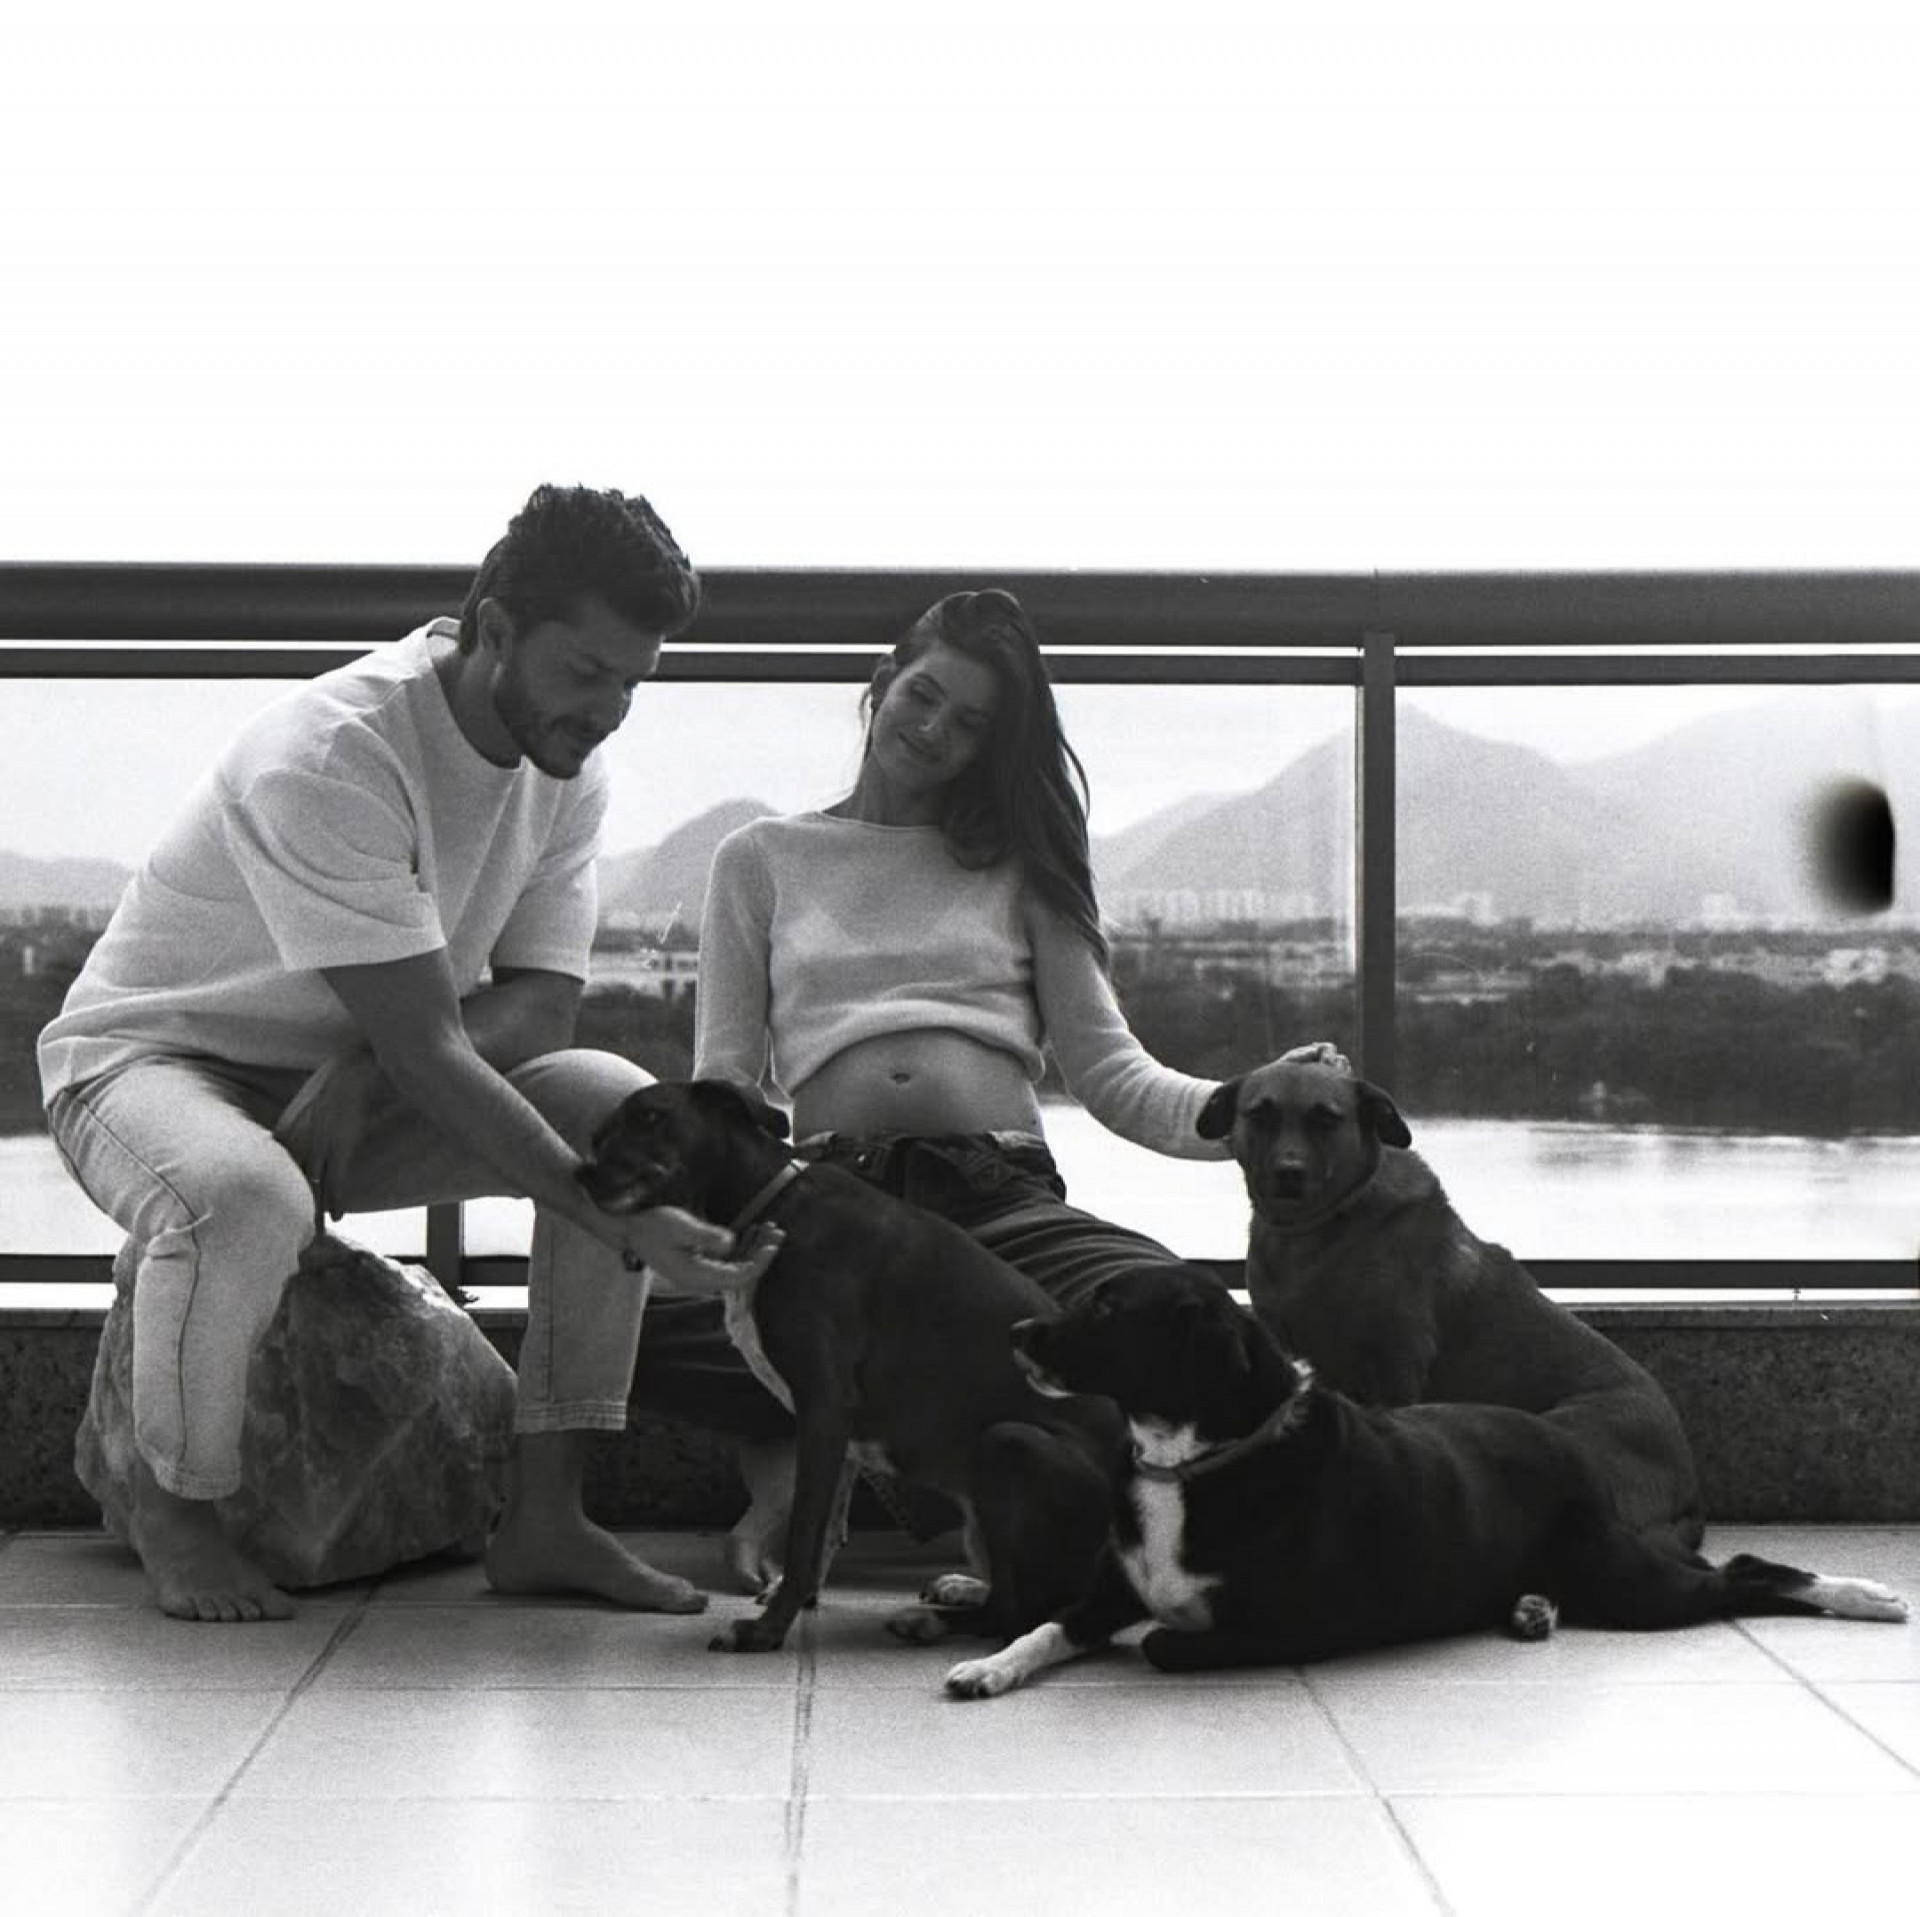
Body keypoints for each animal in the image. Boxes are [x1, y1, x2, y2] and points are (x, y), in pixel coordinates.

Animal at [577, 1079, 1125, 1653]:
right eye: (599, 1135)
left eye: (651, 1117)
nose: (582, 1173)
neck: (774, 1207)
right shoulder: (839, 1431)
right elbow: (821, 1536)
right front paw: (794, 1606)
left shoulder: (823, 1406)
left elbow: (802, 1536)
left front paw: (768, 1630)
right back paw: (965, 1588)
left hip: (1008, 1443)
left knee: (1017, 1611)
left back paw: (936, 1618)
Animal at [944, 1266, 1907, 1697]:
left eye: (1111, 1308)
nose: (1019, 1333)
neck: (1193, 1461)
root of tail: (1565, 1441)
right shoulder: (1105, 1589)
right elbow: (1047, 1625)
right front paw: (988, 1665)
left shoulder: (1294, 1625)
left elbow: (1164, 1641)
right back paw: (1529, 1606)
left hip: (1630, 1581)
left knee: (1741, 1572)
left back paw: (1863, 1593)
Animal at [1196, 1057, 1705, 1549]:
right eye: (1260, 1114)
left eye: (1326, 1119)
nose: (1289, 1172)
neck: (1317, 1231)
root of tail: (1687, 1484)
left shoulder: (1395, 1366)